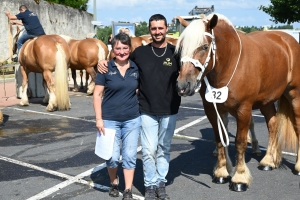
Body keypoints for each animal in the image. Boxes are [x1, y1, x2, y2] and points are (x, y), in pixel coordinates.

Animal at [175, 13, 300, 191]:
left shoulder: (244, 110)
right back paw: (268, 161)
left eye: (205, 47)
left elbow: (240, 143)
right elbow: (220, 140)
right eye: (181, 47)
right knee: (273, 125)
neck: (230, 63)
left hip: (294, 95)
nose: (183, 86)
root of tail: (289, 40)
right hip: (267, 102)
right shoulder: (213, 110)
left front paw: (239, 178)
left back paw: (297, 166)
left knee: (297, 126)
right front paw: (221, 173)